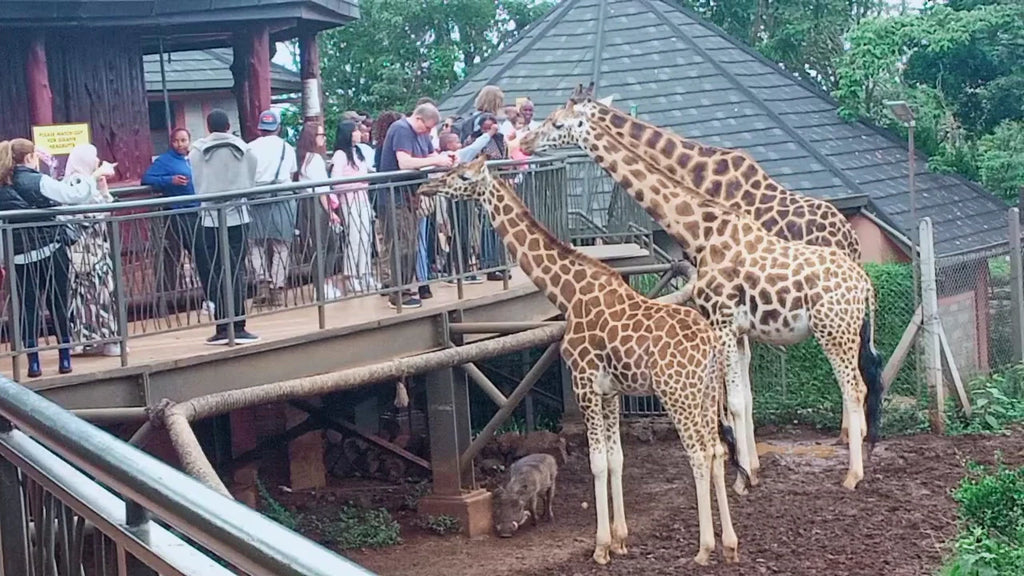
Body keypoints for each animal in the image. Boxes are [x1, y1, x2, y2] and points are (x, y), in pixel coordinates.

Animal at [418, 157, 744, 567]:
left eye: (462, 174)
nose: (426, 188)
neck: (568, 293)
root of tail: (712, 346)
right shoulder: (610, 391)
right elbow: (617, 458)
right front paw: (621, 540)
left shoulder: (584, 382)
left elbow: (597, 462)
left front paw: (601, 547)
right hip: (705, 393)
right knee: (717, 450)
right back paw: (729, 545)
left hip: (677, 394)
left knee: (700, 454)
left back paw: (703, 549)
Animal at [520, 96, 885, 493]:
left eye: (557, 123)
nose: (524, 142)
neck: (702, 226)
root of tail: (861, 274)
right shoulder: (736, 329)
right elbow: (746, 397)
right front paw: (750, 467)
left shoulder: (721, 321)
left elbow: (732, 399)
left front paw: (741, 475)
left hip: (832, 330)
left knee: (854, 386)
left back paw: (853, 470)